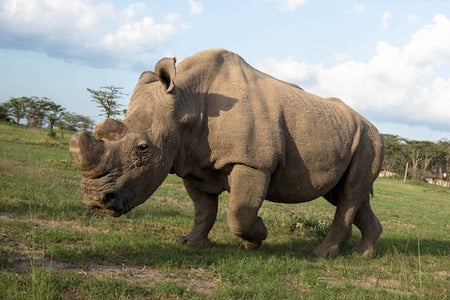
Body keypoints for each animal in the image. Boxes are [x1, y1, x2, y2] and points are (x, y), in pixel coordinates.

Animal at [70, 48, 384, 256]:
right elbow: (204, 209)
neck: (185, 103)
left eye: (143, 149)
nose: (95, 201)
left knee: (348, 195)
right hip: (351, 136)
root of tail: (375, 127)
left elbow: (238, 213)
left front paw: (256, 237)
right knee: (343, 194)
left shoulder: (252, 162)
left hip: (370, 141)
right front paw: (190, 242)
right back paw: (363, 253)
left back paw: (323, 253)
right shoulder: (191, 162)